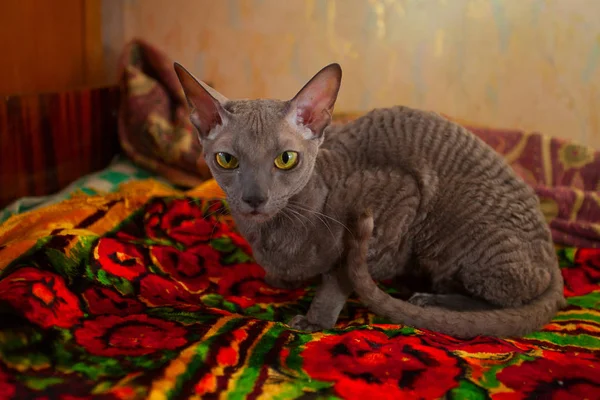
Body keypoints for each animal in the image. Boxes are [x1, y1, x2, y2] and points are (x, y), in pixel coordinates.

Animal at [175, 61, 568, 338]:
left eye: (286, 159)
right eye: (227, 160)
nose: (254, 197)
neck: (273, 234)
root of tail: (552, 255)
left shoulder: (398, 202)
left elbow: (343, 275)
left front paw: (316, 319)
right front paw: (282, 280)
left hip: (453, 228)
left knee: (507, 298)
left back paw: (432, 300)